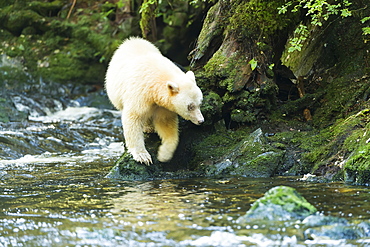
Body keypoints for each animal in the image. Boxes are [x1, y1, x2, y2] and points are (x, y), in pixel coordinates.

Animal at [104, 37, 204, 165]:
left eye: (200, 103)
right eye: (190, 106)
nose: (201, 121)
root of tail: (132, 40)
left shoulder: (163, 105)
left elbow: (166, 123)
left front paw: (163, 155)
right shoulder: (139, 92)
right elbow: (133, 117)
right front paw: (142, 156)